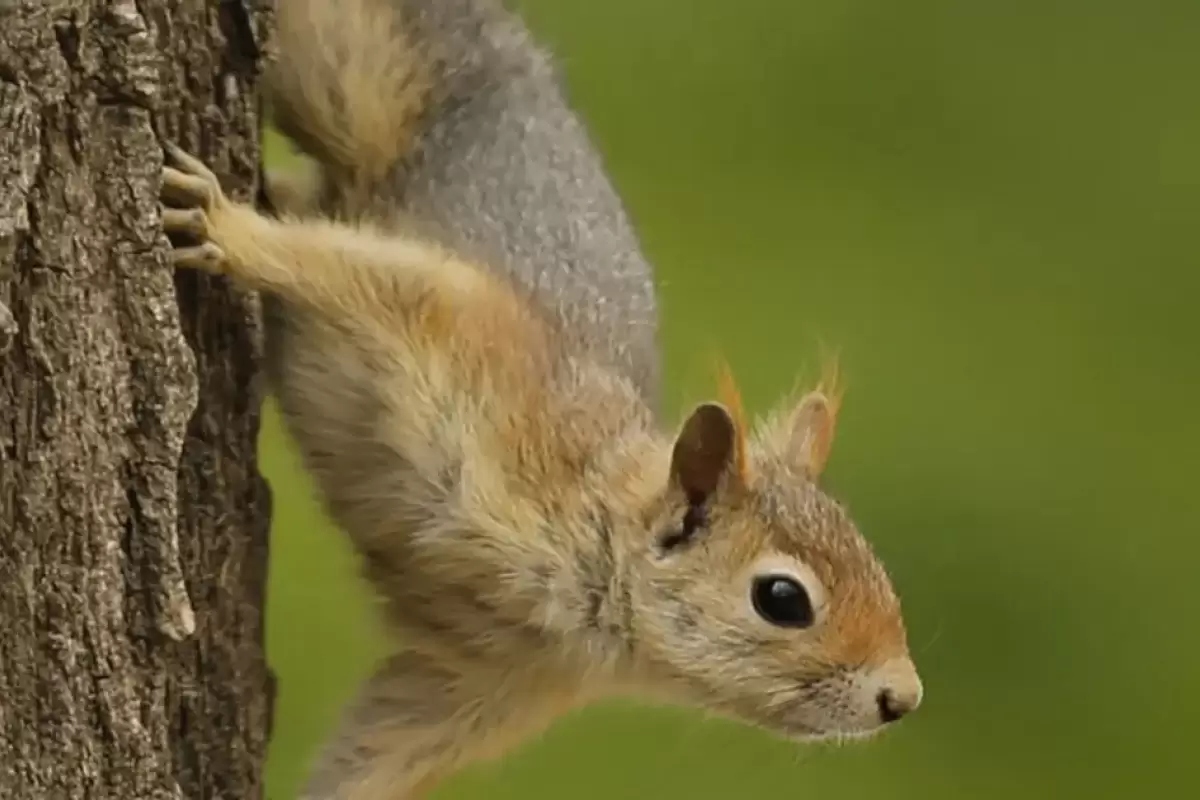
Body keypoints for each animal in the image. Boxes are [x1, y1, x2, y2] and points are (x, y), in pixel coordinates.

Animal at [159, 1, 921, 800]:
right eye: (782, 599)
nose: (903, 698)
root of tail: (515, 58)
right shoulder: (476, 346)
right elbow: (362, 276)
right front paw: (225, 228)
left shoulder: (482, 681)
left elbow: (373, 752)